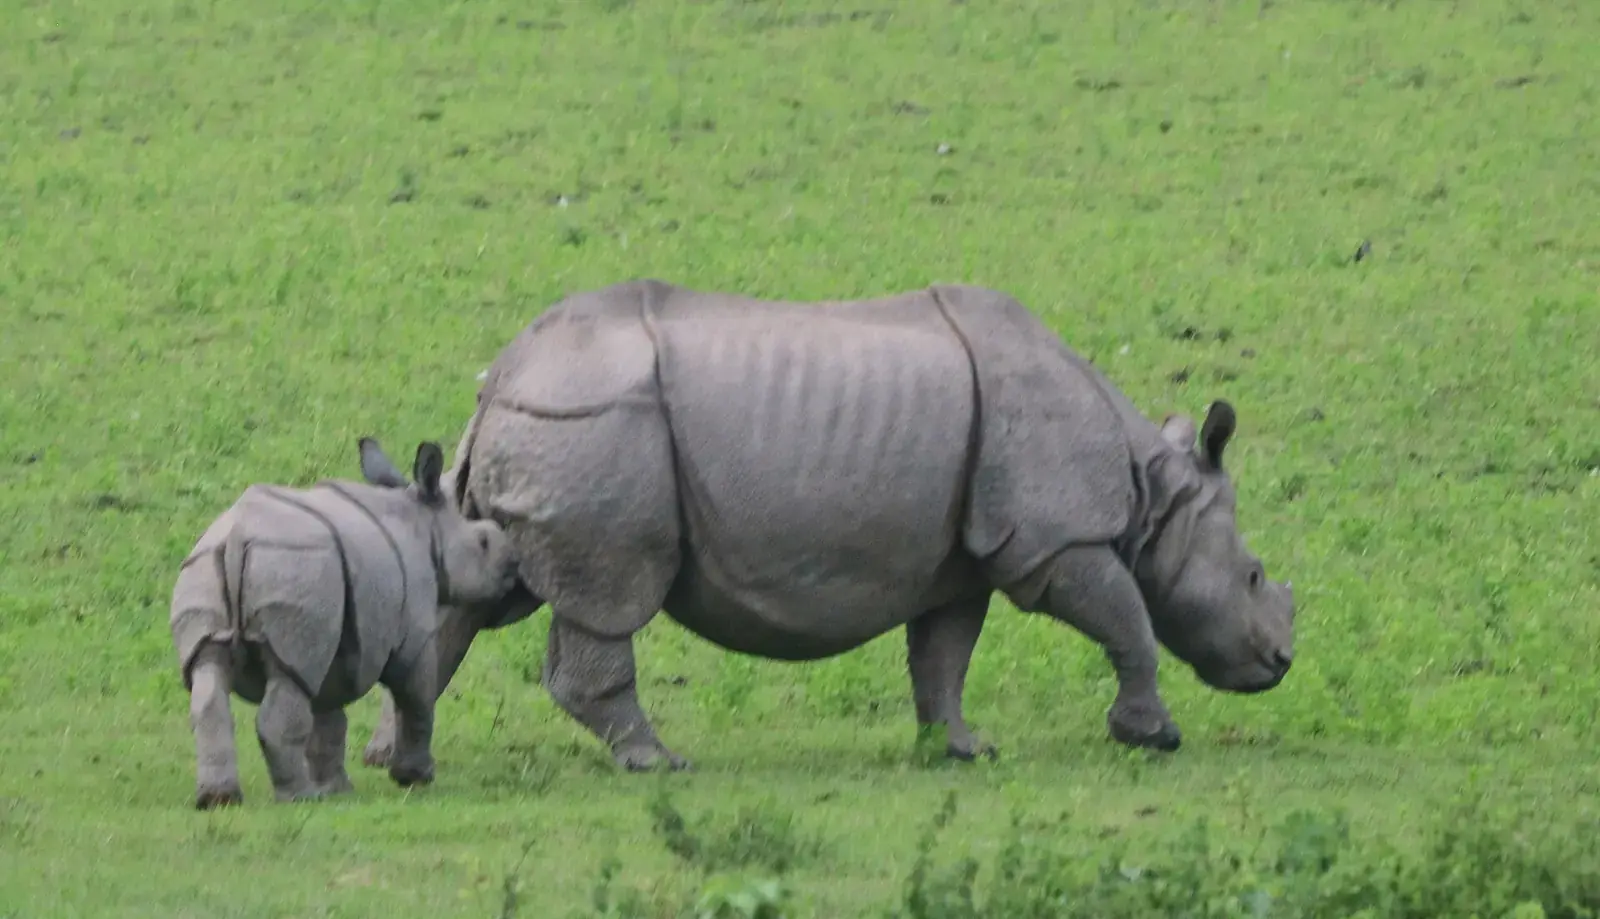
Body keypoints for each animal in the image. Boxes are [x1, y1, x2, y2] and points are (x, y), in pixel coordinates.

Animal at [170, 437, 518, 808]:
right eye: (483, 542)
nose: (512, 563)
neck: (426, 524)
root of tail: (236, 537)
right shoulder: (413, 636)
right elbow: (416, 699)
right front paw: (414, 778)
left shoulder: (339, 635)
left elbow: (329, 717)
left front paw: (337, 789)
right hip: (296, 567)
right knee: (288, 679)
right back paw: (298, 798)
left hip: (208, 568)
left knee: (208, 668)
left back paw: (218, 799)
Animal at [359, 280, 1297, 772]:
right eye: (1254, 576)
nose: (1281, 661)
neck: (1154, 490)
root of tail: (500, 380)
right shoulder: (1054, 538)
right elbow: (1127, 620)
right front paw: (1155, 736)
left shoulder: (960, 554)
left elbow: (943, 653)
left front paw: (961, 748)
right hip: (592, 426)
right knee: (607, 600)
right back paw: (660, 762)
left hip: (549, 428)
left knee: (469, 594)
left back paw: (391, 762)